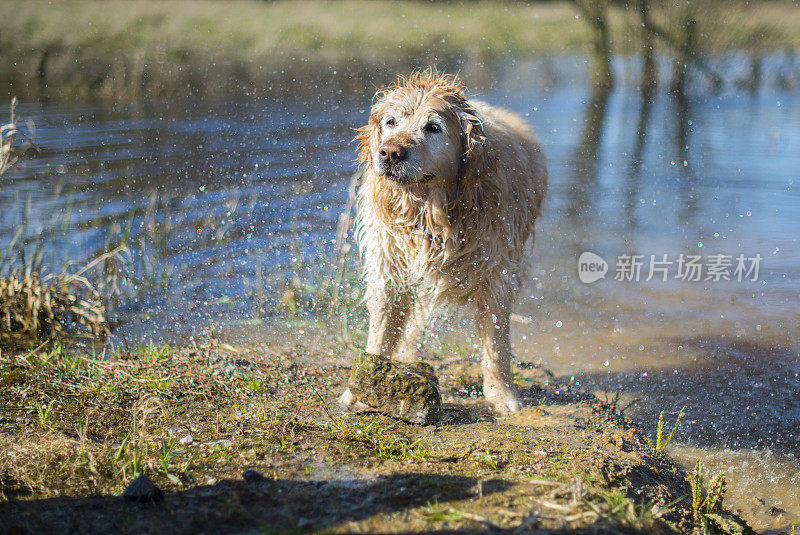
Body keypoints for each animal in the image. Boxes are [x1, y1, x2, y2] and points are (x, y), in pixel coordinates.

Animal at [338, 71, 552, 414]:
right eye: (390, 122)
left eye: (433, 127)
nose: (389, 152)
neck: (431, 210)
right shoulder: (389, 267)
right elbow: (381, 330)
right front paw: (360, 387)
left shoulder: (496, 274)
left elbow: (496, 342)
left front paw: (502, 396)